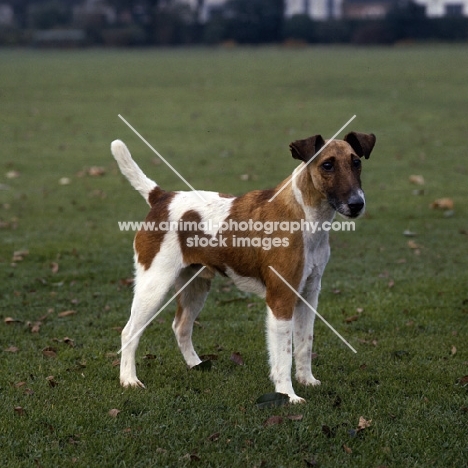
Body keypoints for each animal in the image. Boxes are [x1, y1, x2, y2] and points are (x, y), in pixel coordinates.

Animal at [112, 131, 376, 402]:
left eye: (356, 162)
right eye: (327, 165)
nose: (357, 204)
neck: (302, 216)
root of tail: (162, 197)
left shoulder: (308, 295)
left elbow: (304, 344)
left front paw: (307, 380)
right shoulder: (281, 298)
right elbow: (283, 356)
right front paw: (287, 394)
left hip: (195, 285)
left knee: (181, 327)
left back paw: (197, 365)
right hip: (154, 285)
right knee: (129, 332)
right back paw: (129, 380)